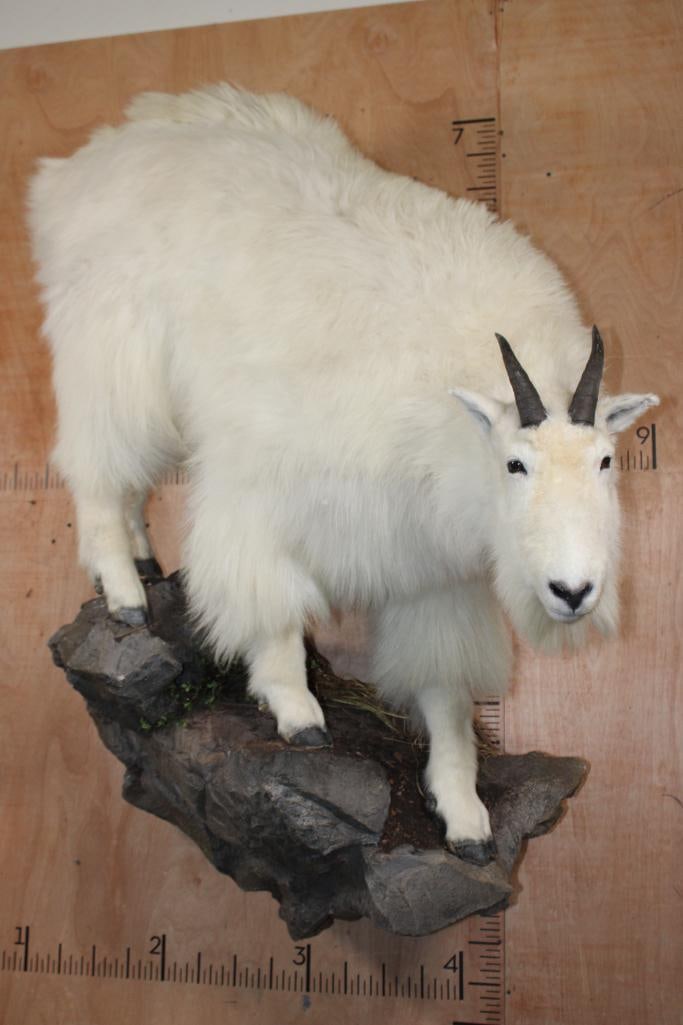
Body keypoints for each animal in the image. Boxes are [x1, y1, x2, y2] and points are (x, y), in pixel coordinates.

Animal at [28, 84, 658, 865]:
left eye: (605, 459)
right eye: (515, 462)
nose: (572, 592)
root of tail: (73, 172)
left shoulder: (430, 574)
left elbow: (444, 690)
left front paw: (463, 812)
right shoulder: (259, 490)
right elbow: (268, 607)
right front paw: (296, 710)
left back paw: (147, 562)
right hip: (112, 358)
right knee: (97, 474)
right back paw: (123, 593)